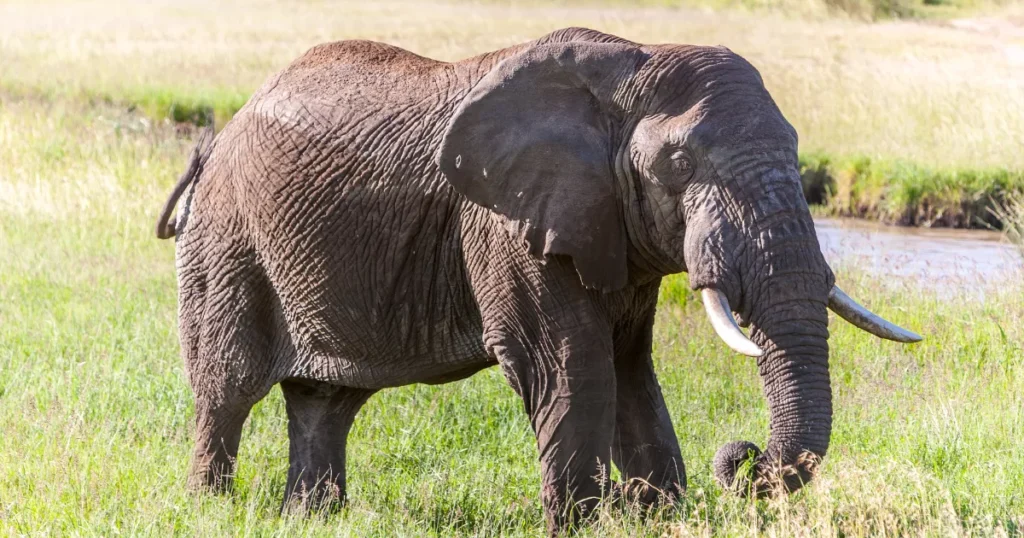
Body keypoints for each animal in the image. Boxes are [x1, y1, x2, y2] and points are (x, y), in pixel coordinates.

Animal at [155, 28, 925, 532]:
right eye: (678, 165)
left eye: (798, 152)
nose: (741, 457)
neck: (631, 63)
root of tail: (220, 135)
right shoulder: (504, 221)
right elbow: (569, 364)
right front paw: (586, 522)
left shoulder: (606, 223)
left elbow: (630, 368)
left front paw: (654, 515)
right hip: (228, 239)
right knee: (228, 387)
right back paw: (210, 508)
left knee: (327, 400)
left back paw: (314, 517)